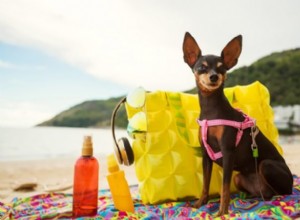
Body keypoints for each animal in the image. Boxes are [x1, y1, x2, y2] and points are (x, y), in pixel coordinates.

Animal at [183, 32, 292, 217]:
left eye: (222, 68)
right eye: (201, 67)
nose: (214, 76)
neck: (211, 109)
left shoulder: (228, 152)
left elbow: (224, 188)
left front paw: (222, 212)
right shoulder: (206, 155)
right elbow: (205, 184)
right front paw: (199, 203)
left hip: (266, 165)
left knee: (282, 193)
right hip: (239, 177)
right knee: (266, 193)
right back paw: (252, 197)